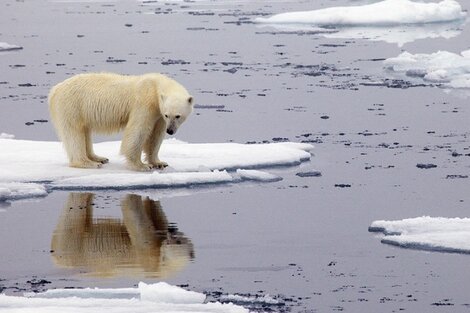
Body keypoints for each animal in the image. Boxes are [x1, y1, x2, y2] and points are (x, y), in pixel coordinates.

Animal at [47, 72, 193, 171]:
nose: (170, 131)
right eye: (168, 115)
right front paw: (142, 166)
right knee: (74, 133)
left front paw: (159, 162)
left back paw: (99, 158)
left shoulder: (158, 114)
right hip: (71, 106)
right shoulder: (144, 103)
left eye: (178, 116)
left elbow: (155, 136)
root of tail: (55, 90)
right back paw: (88, 163)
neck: (154, 86)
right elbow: (138, 131)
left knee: (85, 132)